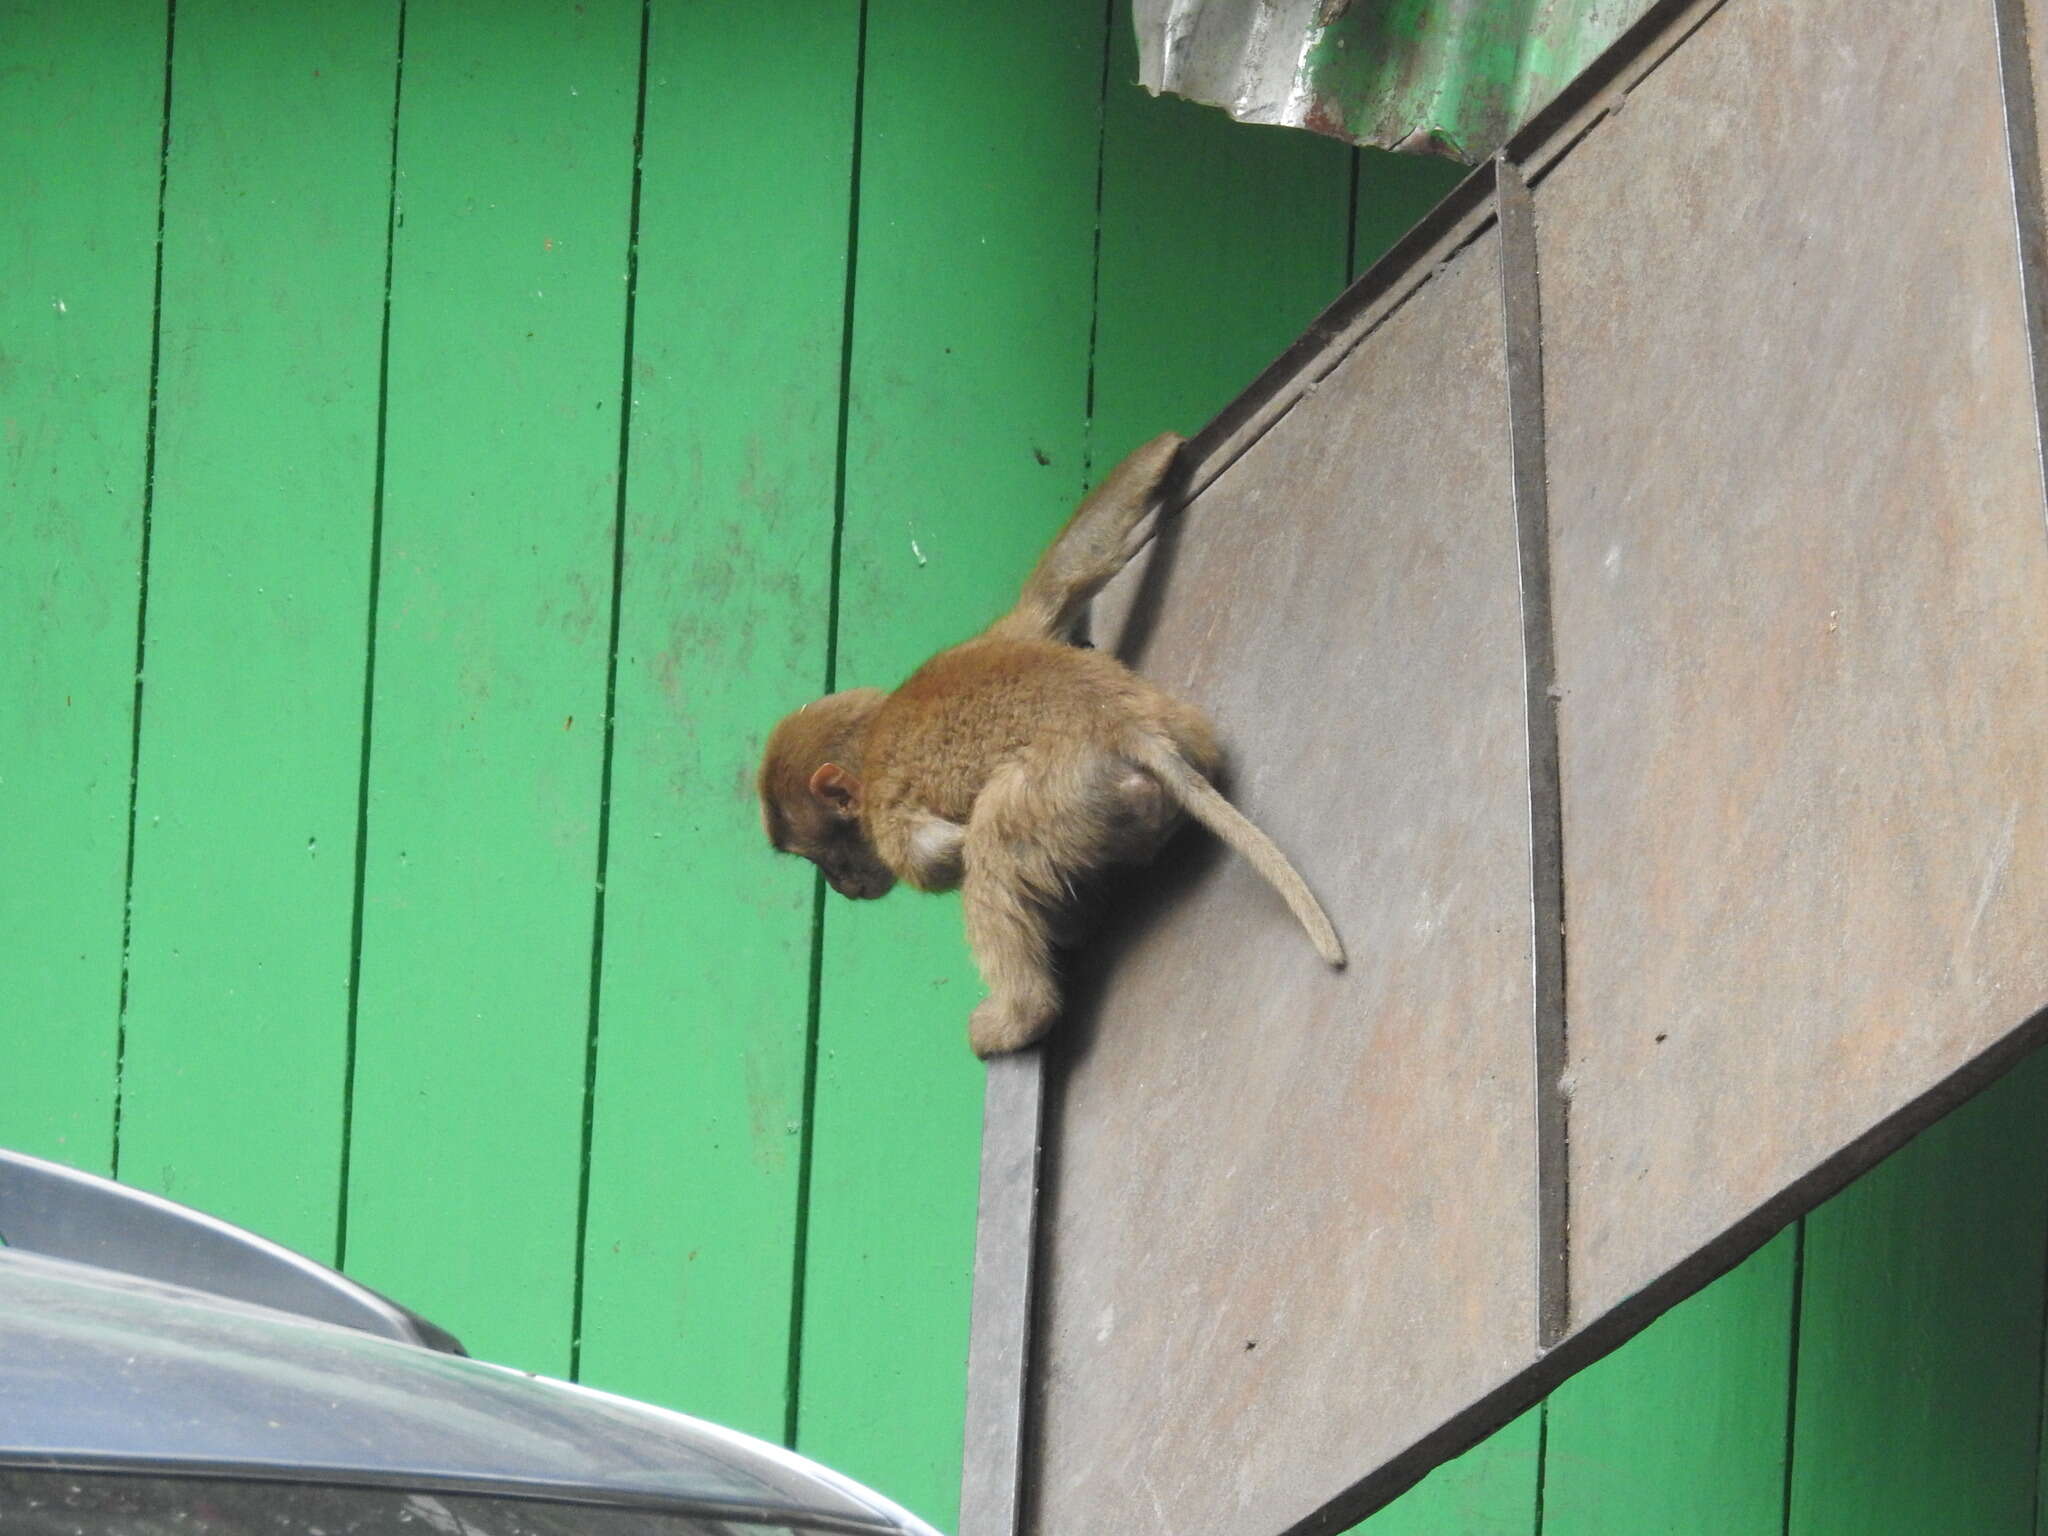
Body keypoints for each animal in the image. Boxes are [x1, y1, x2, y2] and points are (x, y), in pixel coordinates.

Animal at [757, 434, 1343, 1056]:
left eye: (823, 856)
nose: (841, 887)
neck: (872, 738)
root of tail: (1119, 722)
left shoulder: (888, 819)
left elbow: (941, 855)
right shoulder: (1013, 631)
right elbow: (1065, 578)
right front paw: (1165, 450)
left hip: (1064, 797)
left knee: (993, 838)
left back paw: (1022, 1014)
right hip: (1183, 732)